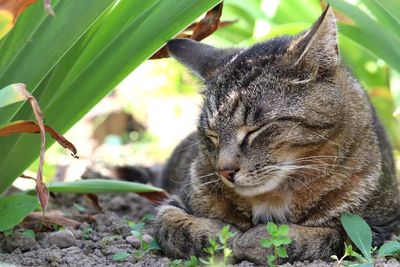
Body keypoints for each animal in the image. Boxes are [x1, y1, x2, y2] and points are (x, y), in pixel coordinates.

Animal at [152, 7, 400, 264]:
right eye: (213, 136)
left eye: (255, 130)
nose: (224, 171)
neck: (273, 197)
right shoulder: (177, 200)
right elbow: (171, 224)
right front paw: (223, 235)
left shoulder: (379, 226)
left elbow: (325, 237)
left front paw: (254, 240)